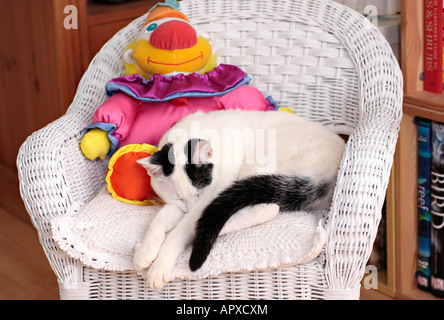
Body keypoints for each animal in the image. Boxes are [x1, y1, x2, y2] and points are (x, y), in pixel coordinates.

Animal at [134, 109, 346, 288]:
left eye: (199, 193)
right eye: (179, 198)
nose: (190, 207)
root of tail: (329, 174)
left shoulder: (208, 199)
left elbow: (178, 232)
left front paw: (159, 267)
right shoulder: (177, 205)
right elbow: (159, 219)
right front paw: (145, 251)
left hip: (258, 162)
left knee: (266, 209)